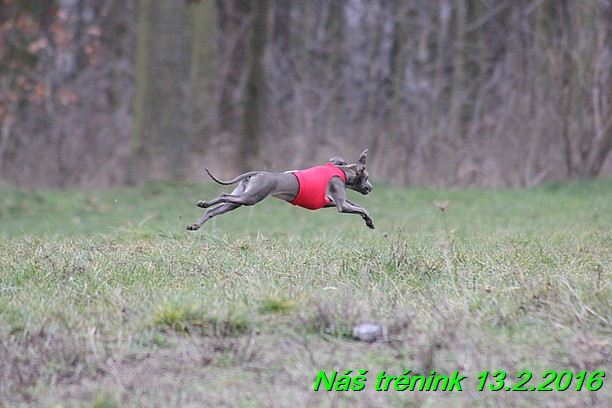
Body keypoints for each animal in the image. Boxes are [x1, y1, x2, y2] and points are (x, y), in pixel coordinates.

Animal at [186, 148, 376, 230]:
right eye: (366, 177)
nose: (371, 188)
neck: (342, 172)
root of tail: (258, 173)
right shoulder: (340, 203)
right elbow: (360, 208)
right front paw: (369, 221)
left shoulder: (331, 201)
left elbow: (360, 207)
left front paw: (368, 220)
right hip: (250, 197)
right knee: (223, 194)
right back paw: (204, 203)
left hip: (239, 199)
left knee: (214, 210)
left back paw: (196, 224)